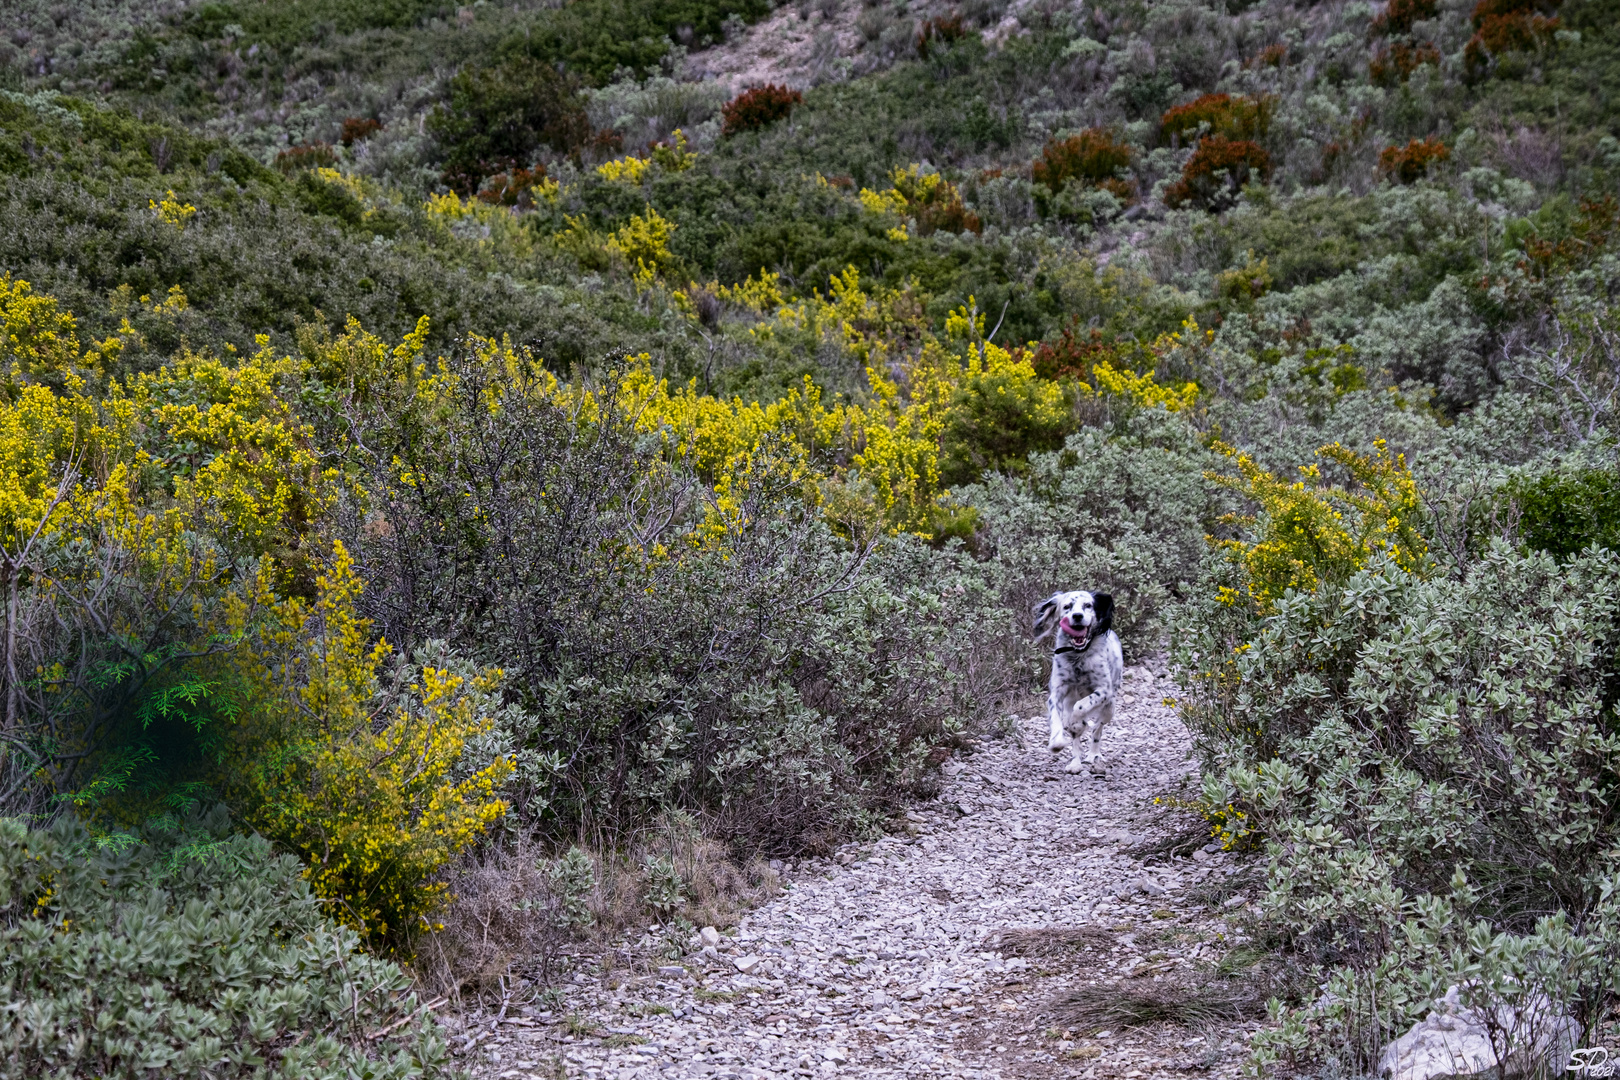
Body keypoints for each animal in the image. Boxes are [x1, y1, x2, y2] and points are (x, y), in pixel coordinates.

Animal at [1036, 592, 1127, 777]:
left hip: (1109, 708)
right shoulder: (1057, 693)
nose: (1077, 616)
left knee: (1097, 730)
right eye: (1067, 607)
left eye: (1088, 605)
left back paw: (1093, 755)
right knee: (1076, 737)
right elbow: (1057, 719)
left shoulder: (1104, 691)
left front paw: (1077, 721)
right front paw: (1056, 743)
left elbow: (1081, 708)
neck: (1078, 656)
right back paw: (1075, 763)